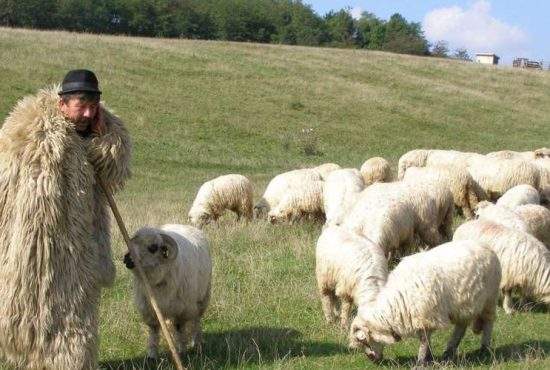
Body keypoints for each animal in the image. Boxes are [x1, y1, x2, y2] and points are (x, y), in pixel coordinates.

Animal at [125, 224, 213, 360]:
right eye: (132, 241)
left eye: (153, 247)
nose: (126, 258)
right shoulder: (150, 309)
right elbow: (154, 330)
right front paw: (152, 354)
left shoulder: (182, 310)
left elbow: (179, 328)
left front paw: (181, 349)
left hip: (202, 299)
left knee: (196, 320)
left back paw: (196, 341)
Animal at [352, 240, 502, 364]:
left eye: (365, 342)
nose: (372, 360)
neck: (396, 305)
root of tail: (486, 247)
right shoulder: (424, 317)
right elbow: (427, 339)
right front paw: (429, 358)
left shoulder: (426, 315)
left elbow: (424, 340)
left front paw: (420, 361)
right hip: (464, 304)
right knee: (461, 327)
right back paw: (449, 350)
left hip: (490, 298)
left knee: (488, 321)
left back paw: (484, 348)